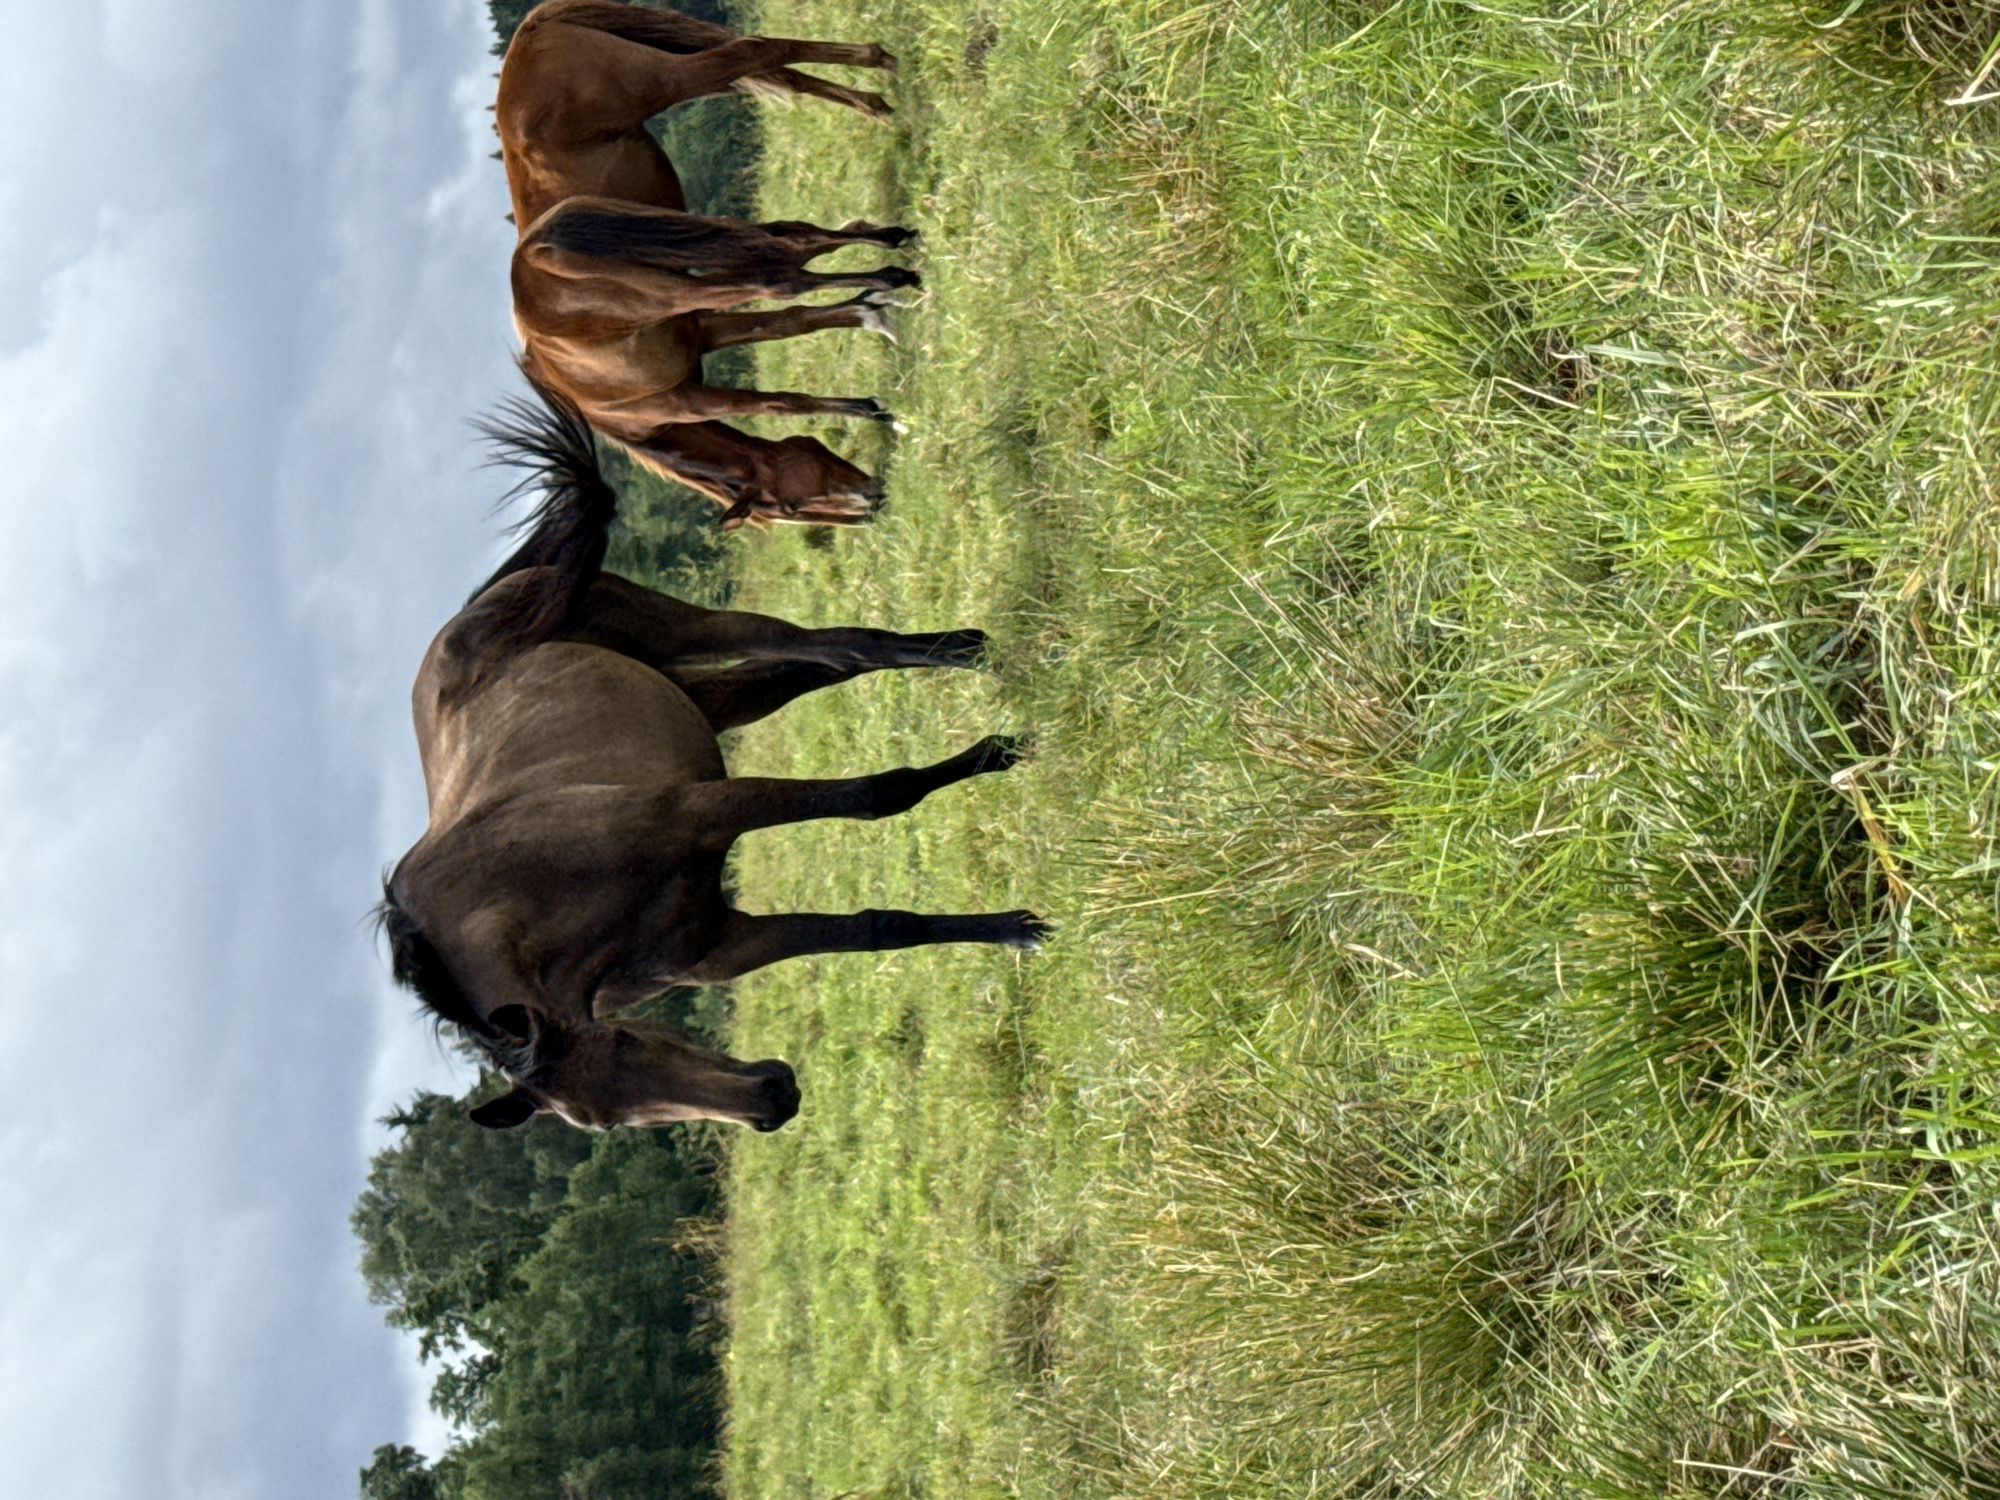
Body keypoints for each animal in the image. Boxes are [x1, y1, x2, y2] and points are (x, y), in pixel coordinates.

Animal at [378, 379, 1046, 1132]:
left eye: (626, 1039)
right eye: (610, 1121)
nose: (773, 1102)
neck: (539, 896)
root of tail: (473, 614)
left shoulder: (710, 808)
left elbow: (878, 796)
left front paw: (999, 764)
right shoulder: (724, 945)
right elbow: (876, 928)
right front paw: (1012, 929)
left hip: (687, 630)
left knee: (836, 648)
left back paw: (971, 659)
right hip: (706, 696)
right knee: (818, 667)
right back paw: (967, 654)